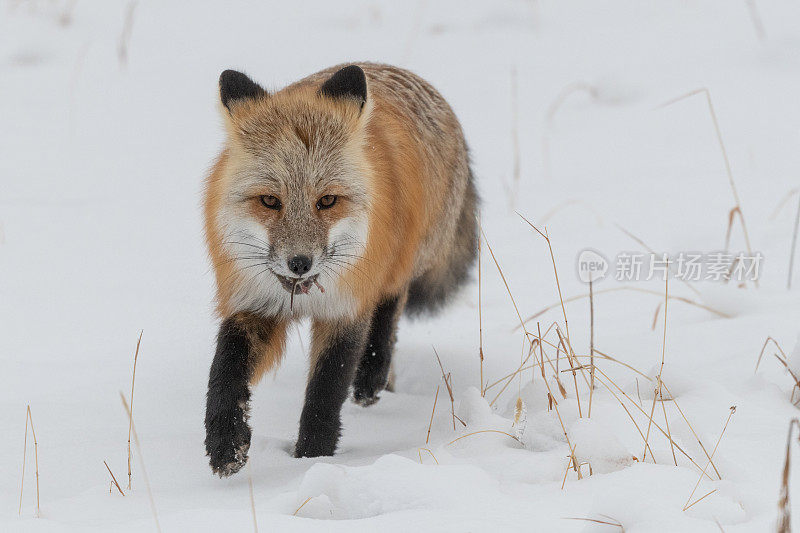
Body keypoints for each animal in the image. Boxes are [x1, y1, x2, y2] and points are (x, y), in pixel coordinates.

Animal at [205, 62, 476, 474]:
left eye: (327, 201)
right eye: (269, 201)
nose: (299, 263)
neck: (300, 295)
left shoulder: (345, 309)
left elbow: (326, 390)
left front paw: (311, 459)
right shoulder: (253, 302)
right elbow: (225, 372)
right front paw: (226, 444)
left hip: (399, 265)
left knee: (390, 310)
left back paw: (370, 378)